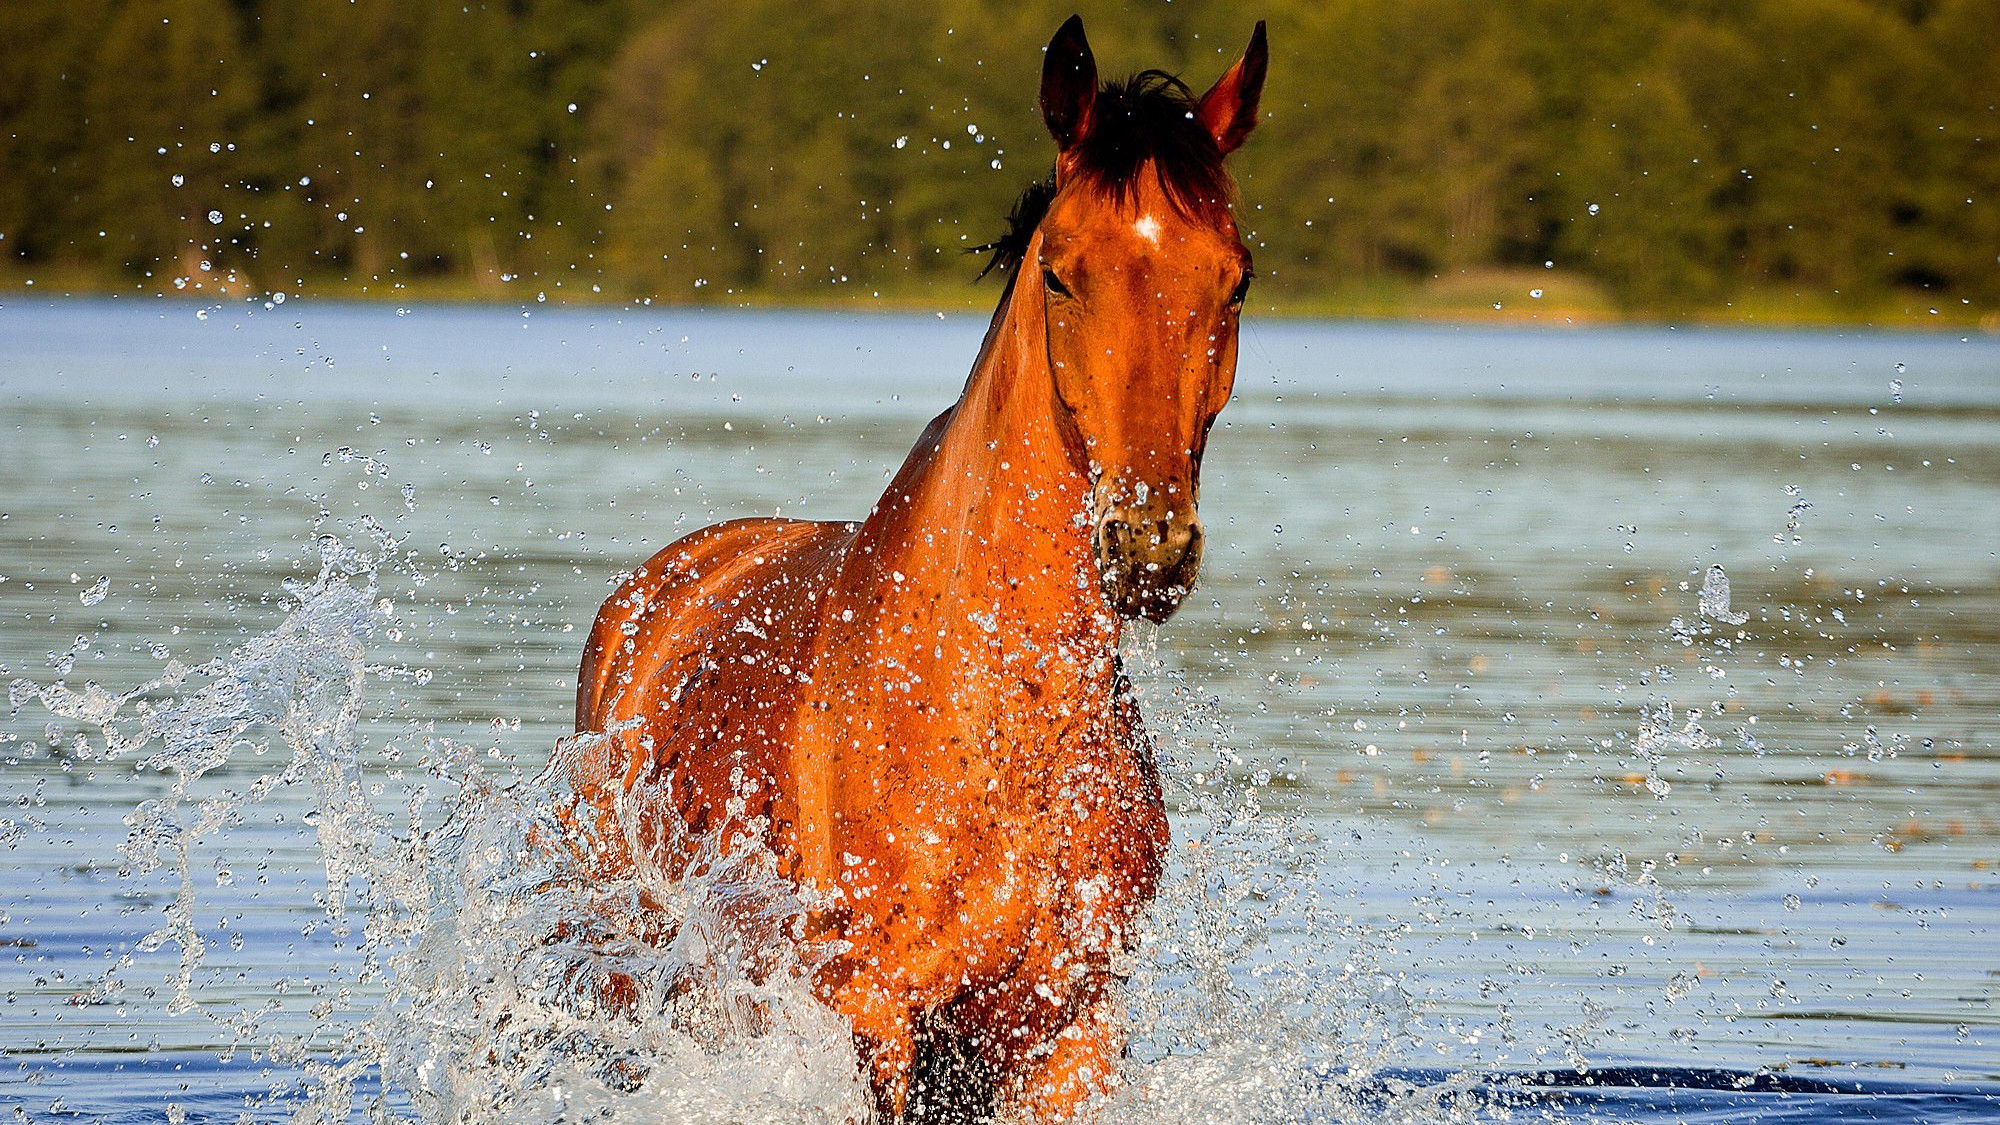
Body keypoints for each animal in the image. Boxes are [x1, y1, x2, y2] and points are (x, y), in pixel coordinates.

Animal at [556, 17, 1256, 1120]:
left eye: (1235, 277)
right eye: (1060, 273)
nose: (1149, 543)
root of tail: (663, 582)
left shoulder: (1070, 1023)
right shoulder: (873, 1009)